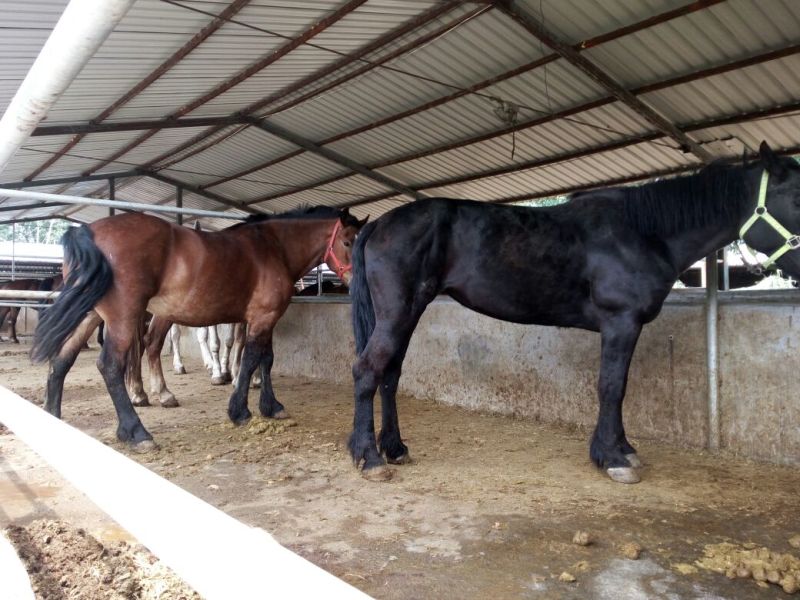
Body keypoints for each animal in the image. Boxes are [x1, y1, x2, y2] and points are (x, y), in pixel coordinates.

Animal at [31, 206, 366, 451]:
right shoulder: (263, 317)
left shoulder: (265, 319)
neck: (274, 247)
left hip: (90, 315)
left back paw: (54, 416)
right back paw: (137, 432)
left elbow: (265, 361)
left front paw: (271, 406)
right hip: (122, 319)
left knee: (63, 358)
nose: (358, 283)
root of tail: (87, 231)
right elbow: (251, 361)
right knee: (110, 366)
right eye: (348, 241)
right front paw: (240, 411)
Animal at [348, 142, 800, 484]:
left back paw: (395, 448)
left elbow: (618, 386)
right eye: (796, 199)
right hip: (398, 313)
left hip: (408, 312)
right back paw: (370, 458)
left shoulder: (626, 327)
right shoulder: (620, 323)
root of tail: (380, 223)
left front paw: (623, 450)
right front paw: (613, 459)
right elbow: (611, 386)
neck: (643, 232)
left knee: (390, 375)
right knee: (368, 371)